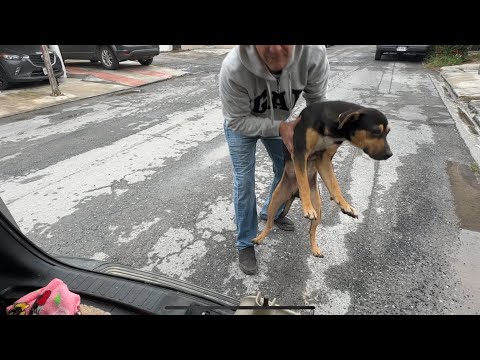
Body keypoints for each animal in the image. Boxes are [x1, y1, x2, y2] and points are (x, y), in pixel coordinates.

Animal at [253, 100, 392, 256]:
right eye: (376, 132)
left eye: (388, 132)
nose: (390, 154)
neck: (332, 127)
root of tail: (294, 194)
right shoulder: (300, 153)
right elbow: (304, 183)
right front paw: (307, 207)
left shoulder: (324, 159)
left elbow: (334, 185)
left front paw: (346, 206)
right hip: (275, 201)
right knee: (269, 224)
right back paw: (259, 238)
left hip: (318, 210)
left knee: (311, 232)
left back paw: (315, 249)